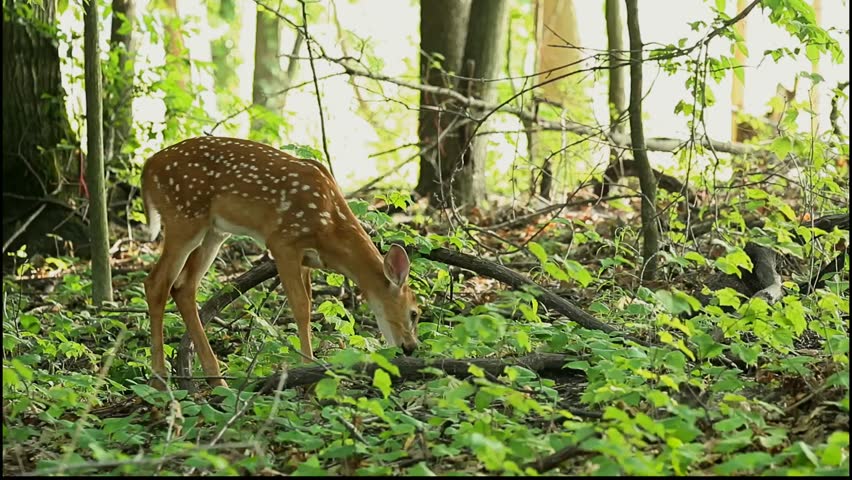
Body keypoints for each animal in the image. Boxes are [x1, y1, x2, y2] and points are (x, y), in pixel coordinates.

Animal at [141, 136, 420, 390]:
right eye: (414, 312)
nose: (410, 347)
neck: (329, 228)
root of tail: (148, 165)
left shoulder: (307, 259)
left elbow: (309, 303)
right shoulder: (282, 241)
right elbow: (301, 307)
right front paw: (307, 370)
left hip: (214, 231)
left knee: (183, 287)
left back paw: (217, 379)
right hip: (184, 217)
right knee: (156, 283)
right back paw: (159, 380)